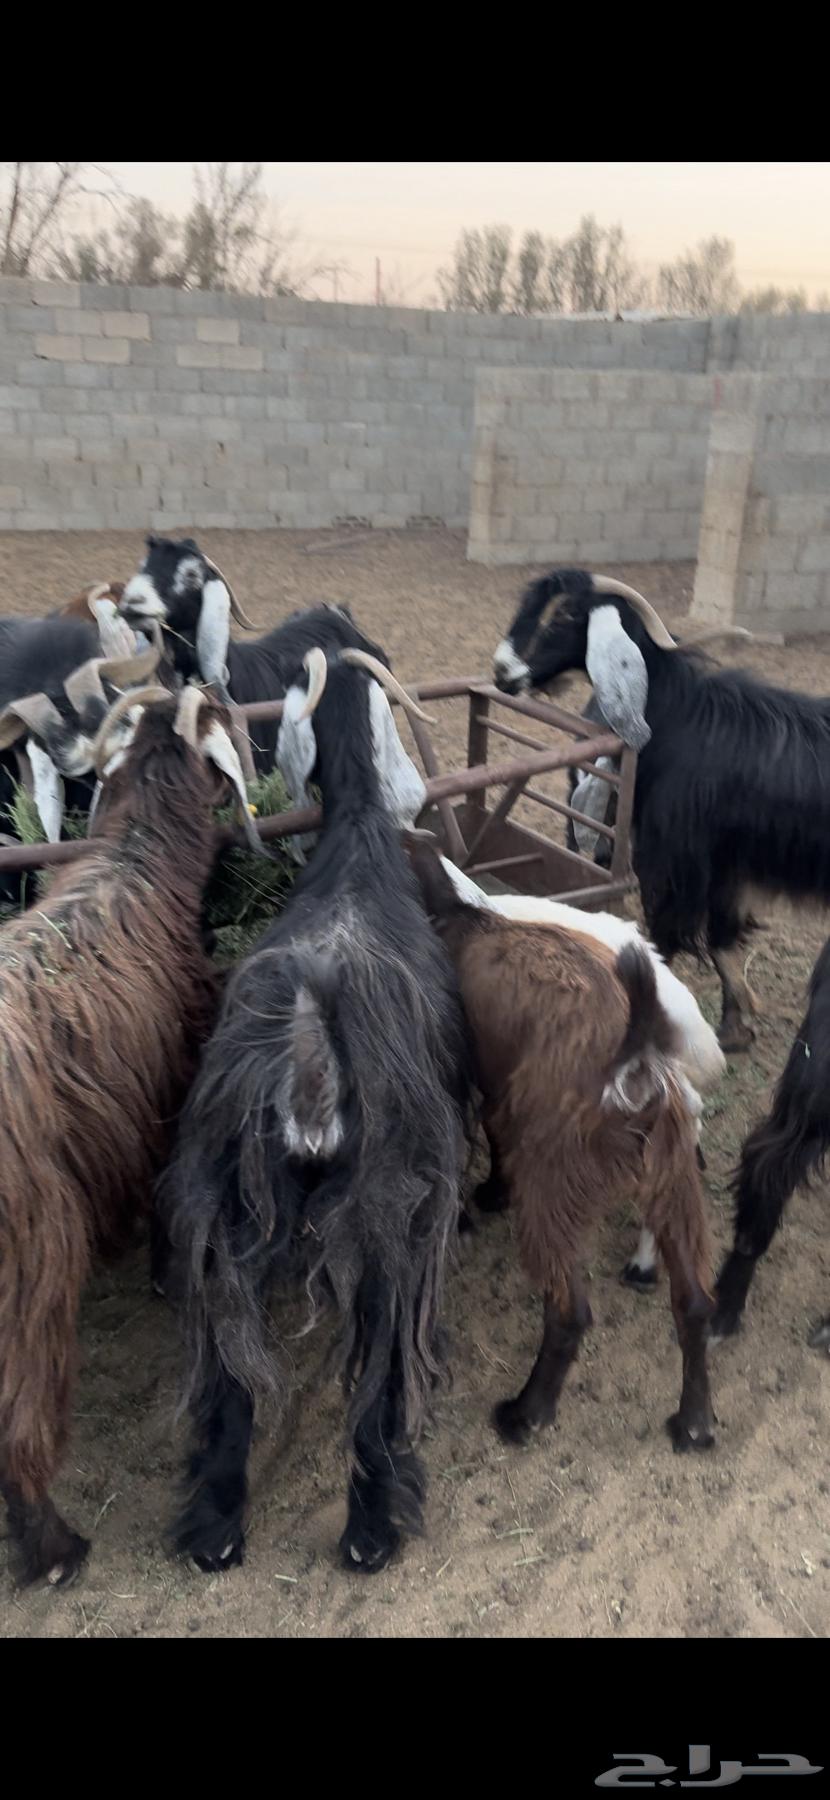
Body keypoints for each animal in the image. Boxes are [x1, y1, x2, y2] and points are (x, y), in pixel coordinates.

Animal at [161, 645, 471, 1577]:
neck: (359, 835)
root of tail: (308, 1052)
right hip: (386, 1222)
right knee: (378, 1377)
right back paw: (372, 1527)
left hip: (219, 1213)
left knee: (227, 1379)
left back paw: (215, 1528)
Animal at [409, 842, 716, 1455]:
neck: (463, 915)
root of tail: (634, 1071)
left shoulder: (486, 1086)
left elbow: (489, 1135)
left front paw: (488, 1196)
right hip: (672, 1179)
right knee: (693, 1303)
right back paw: (693, 1422)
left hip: (553, 1184)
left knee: (570, 1313)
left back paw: (524, 1414)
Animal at [493, 568, 808, 1053]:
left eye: (566, 614)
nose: (502, 673)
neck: (681, 717)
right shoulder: (722, 866)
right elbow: (722, 939)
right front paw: (736, 1030)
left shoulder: (676, 860)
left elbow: (667, 932)